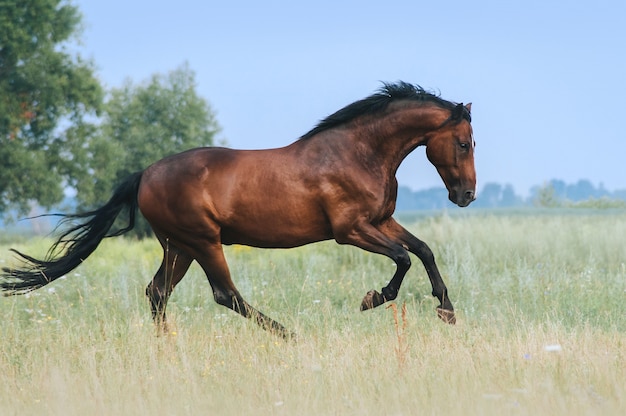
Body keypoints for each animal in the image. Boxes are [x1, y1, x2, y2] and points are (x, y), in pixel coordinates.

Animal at [0, 82, 476, 338]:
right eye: (463, 143)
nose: (466, 196)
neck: (358, 153)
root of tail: (146, 174)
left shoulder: (381, 220)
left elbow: (423, 249)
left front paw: (447, 311)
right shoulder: (351, 229)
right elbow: (401, 258)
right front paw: (371, 299)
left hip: (178, 246)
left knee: (157, 292)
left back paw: (167, 345)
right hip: (202, 242)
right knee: (225, 294)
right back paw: (290, 335)